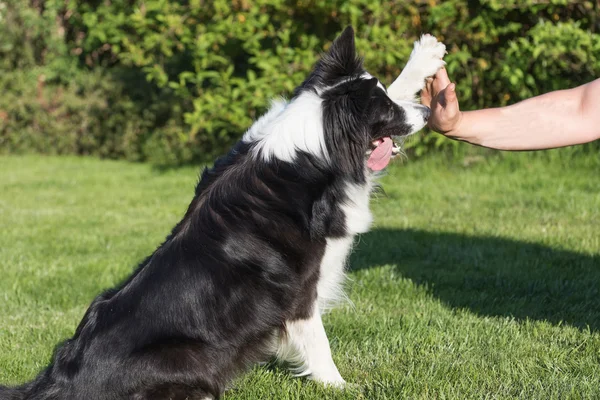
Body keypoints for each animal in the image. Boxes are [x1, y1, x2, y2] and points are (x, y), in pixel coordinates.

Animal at [1, 26, 446, 398]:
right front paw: (342, 387)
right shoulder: (300, 289)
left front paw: (423, 58)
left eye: (386, 99)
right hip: (187, 356)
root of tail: (59, 381)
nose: (427, 113)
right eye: (385, 111)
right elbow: (318, 343)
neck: (316, 146)